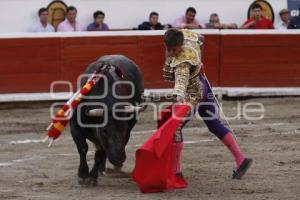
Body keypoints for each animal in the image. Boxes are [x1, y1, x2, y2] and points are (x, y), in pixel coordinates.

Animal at [70, 54, 145, 184]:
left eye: (124, 129)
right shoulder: (74, 127)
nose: (119, 158)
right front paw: (83, 175)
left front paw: (92, 177)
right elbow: (83, 148)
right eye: (105, 130)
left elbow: (100, 154)